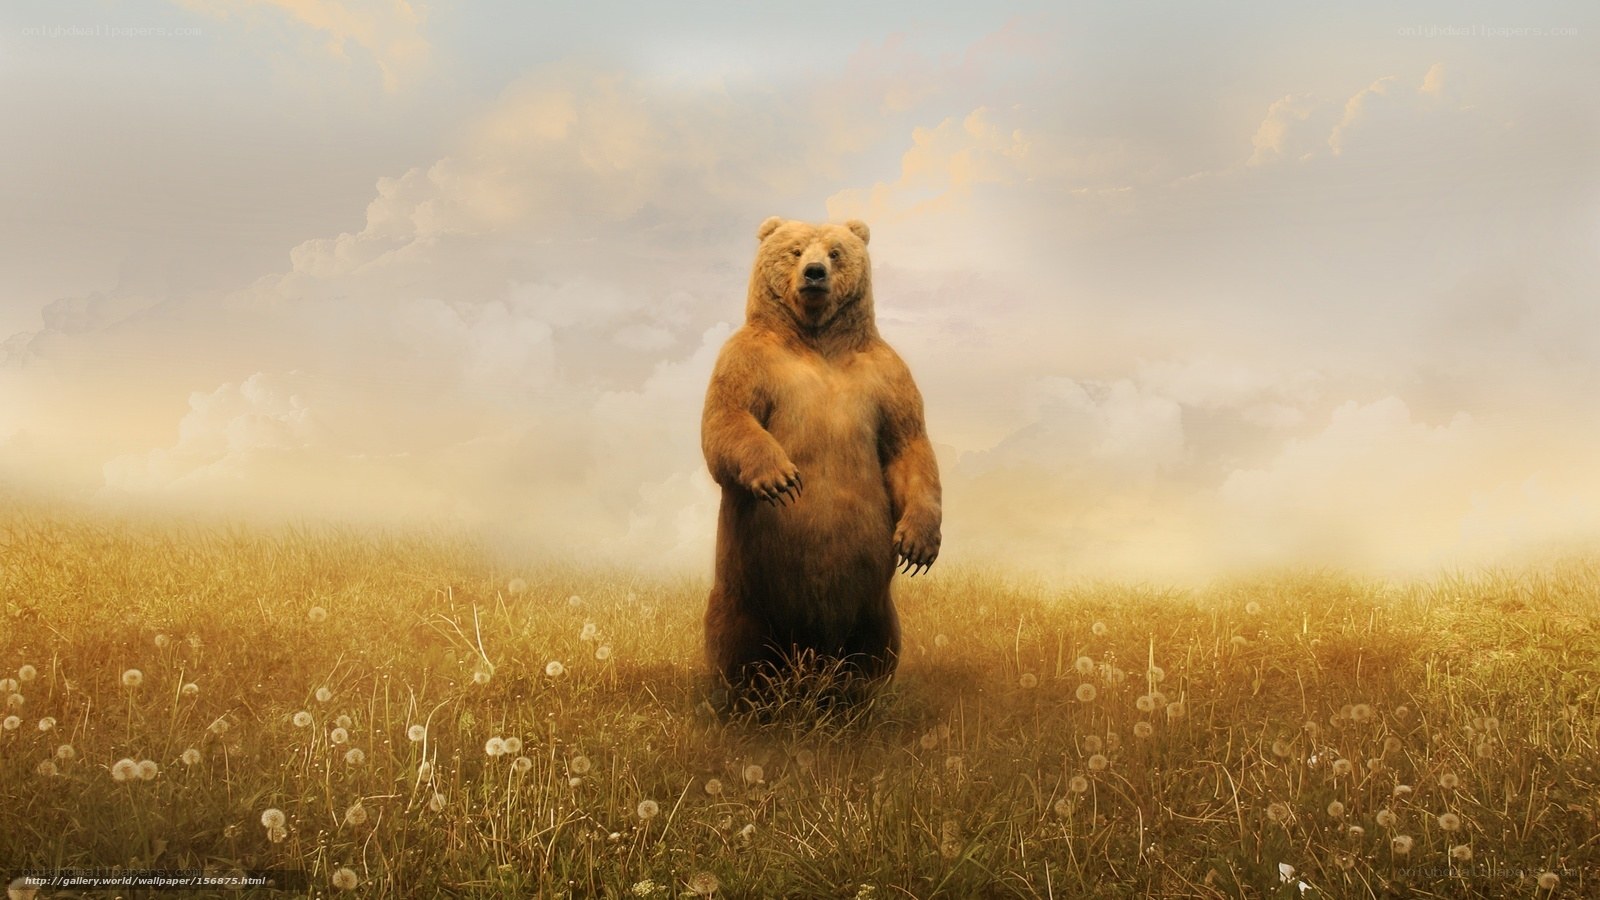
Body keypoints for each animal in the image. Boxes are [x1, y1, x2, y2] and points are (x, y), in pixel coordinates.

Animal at [701, 215, 942, 703]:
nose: (814, 273)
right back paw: (743, 698)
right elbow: (727, 419)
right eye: (794, 250)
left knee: (877, 647)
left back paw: (858, 695)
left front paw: (917, 545)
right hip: (745, 593)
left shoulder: (886, 376)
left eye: (835, 252)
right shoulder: (748, 359)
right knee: (735, 643)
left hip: (873, 605)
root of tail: (810, 658)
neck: (816, 338)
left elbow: (908, 444)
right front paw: (781, 478)